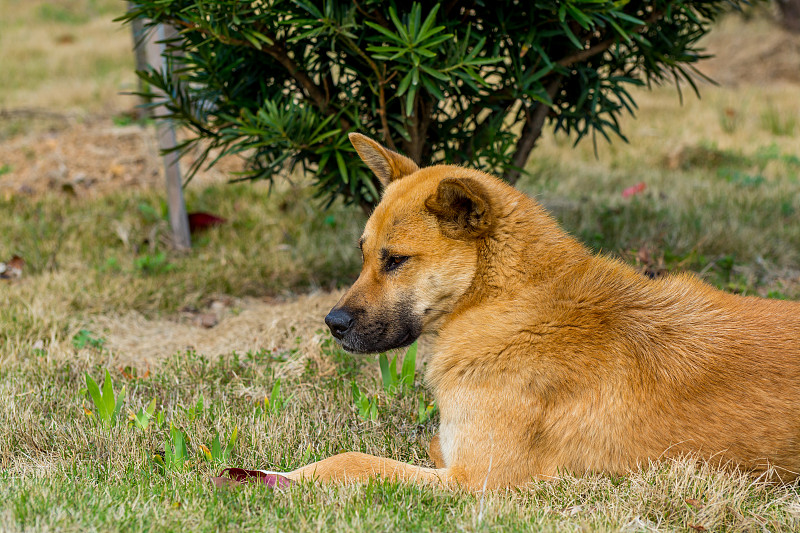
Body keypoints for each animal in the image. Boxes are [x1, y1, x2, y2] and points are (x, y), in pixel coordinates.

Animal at [278, 134, 796, 490]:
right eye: (364, 253)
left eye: (396, 260)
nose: (332, 324)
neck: (505, 303)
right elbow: (431, 443)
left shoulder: (478, 479)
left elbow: (350, 460)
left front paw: (280, 479)